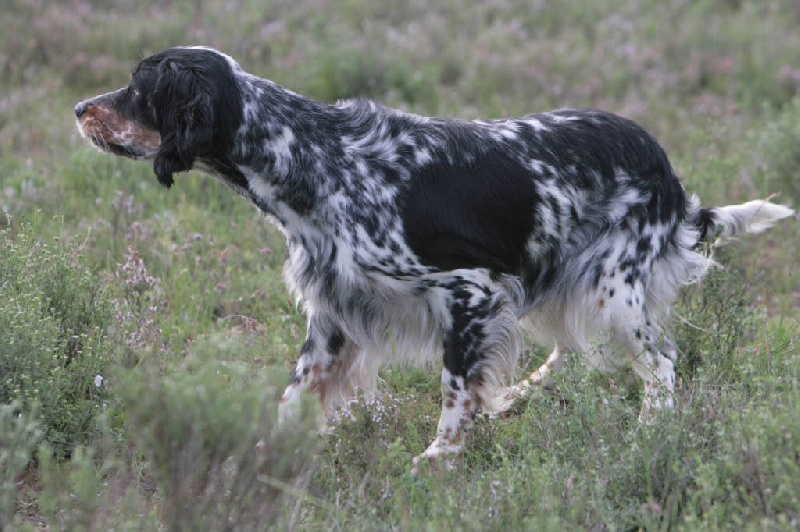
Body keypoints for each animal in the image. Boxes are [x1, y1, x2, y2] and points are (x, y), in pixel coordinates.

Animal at [76, 45, 792, 470]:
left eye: (137, 88)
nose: (81, 107)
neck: (316, 161)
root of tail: (668, 170)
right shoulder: (334, 319)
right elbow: (293, 399)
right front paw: (254, 457)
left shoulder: (469, 292)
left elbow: (452, 388)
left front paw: (439, 459)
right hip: (564, 284)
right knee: (574, 353)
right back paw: (518, 395)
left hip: (611, 289)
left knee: (661, 364)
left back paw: (649, 435)